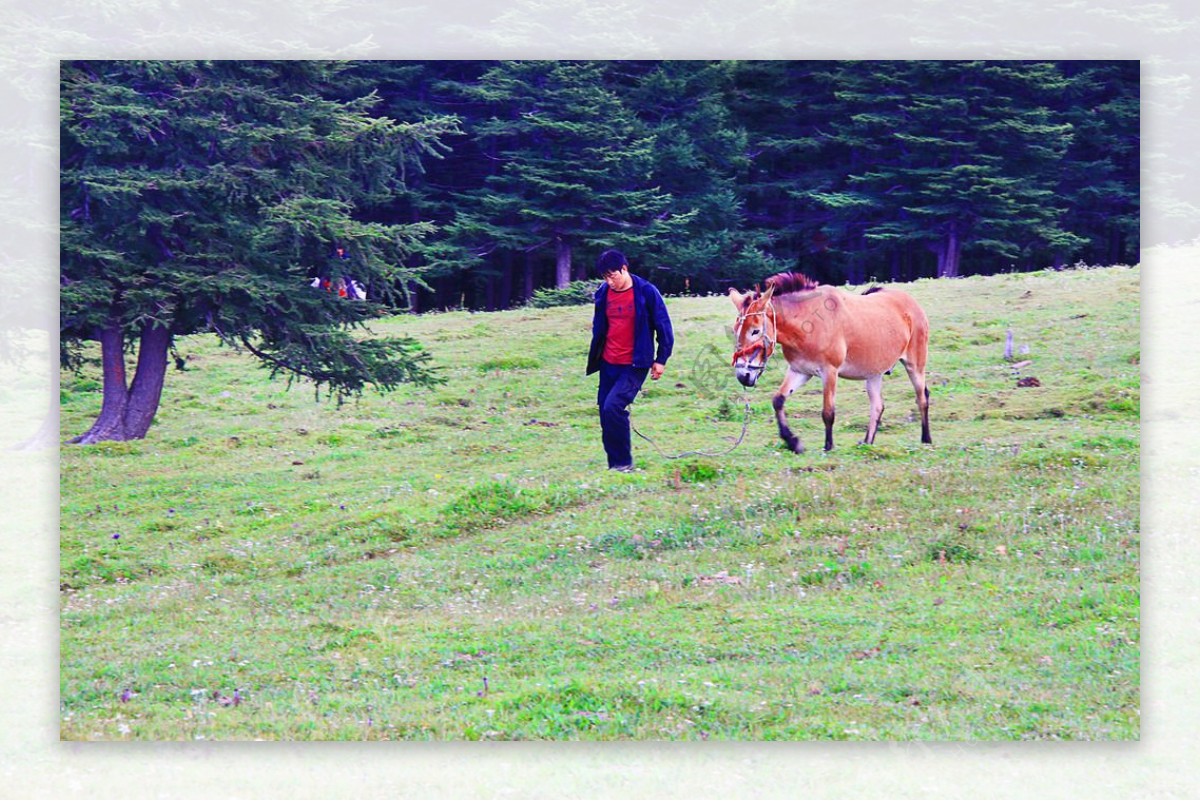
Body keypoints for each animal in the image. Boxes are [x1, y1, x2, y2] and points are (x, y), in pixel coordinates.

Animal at [724, 273, 931, 450]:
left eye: (755, 331)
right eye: (735, 330)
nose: (743, 375)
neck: (809, 324)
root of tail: (913, 304)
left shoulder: (829, 371)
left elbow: (828, 412)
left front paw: (828, 446)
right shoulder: (800, 371)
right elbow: (778, 400)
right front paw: (793, 442)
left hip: (915, 365)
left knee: (922, 398)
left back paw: (926, 439)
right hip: (874, 373)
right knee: (878, 407)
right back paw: (866, 443)